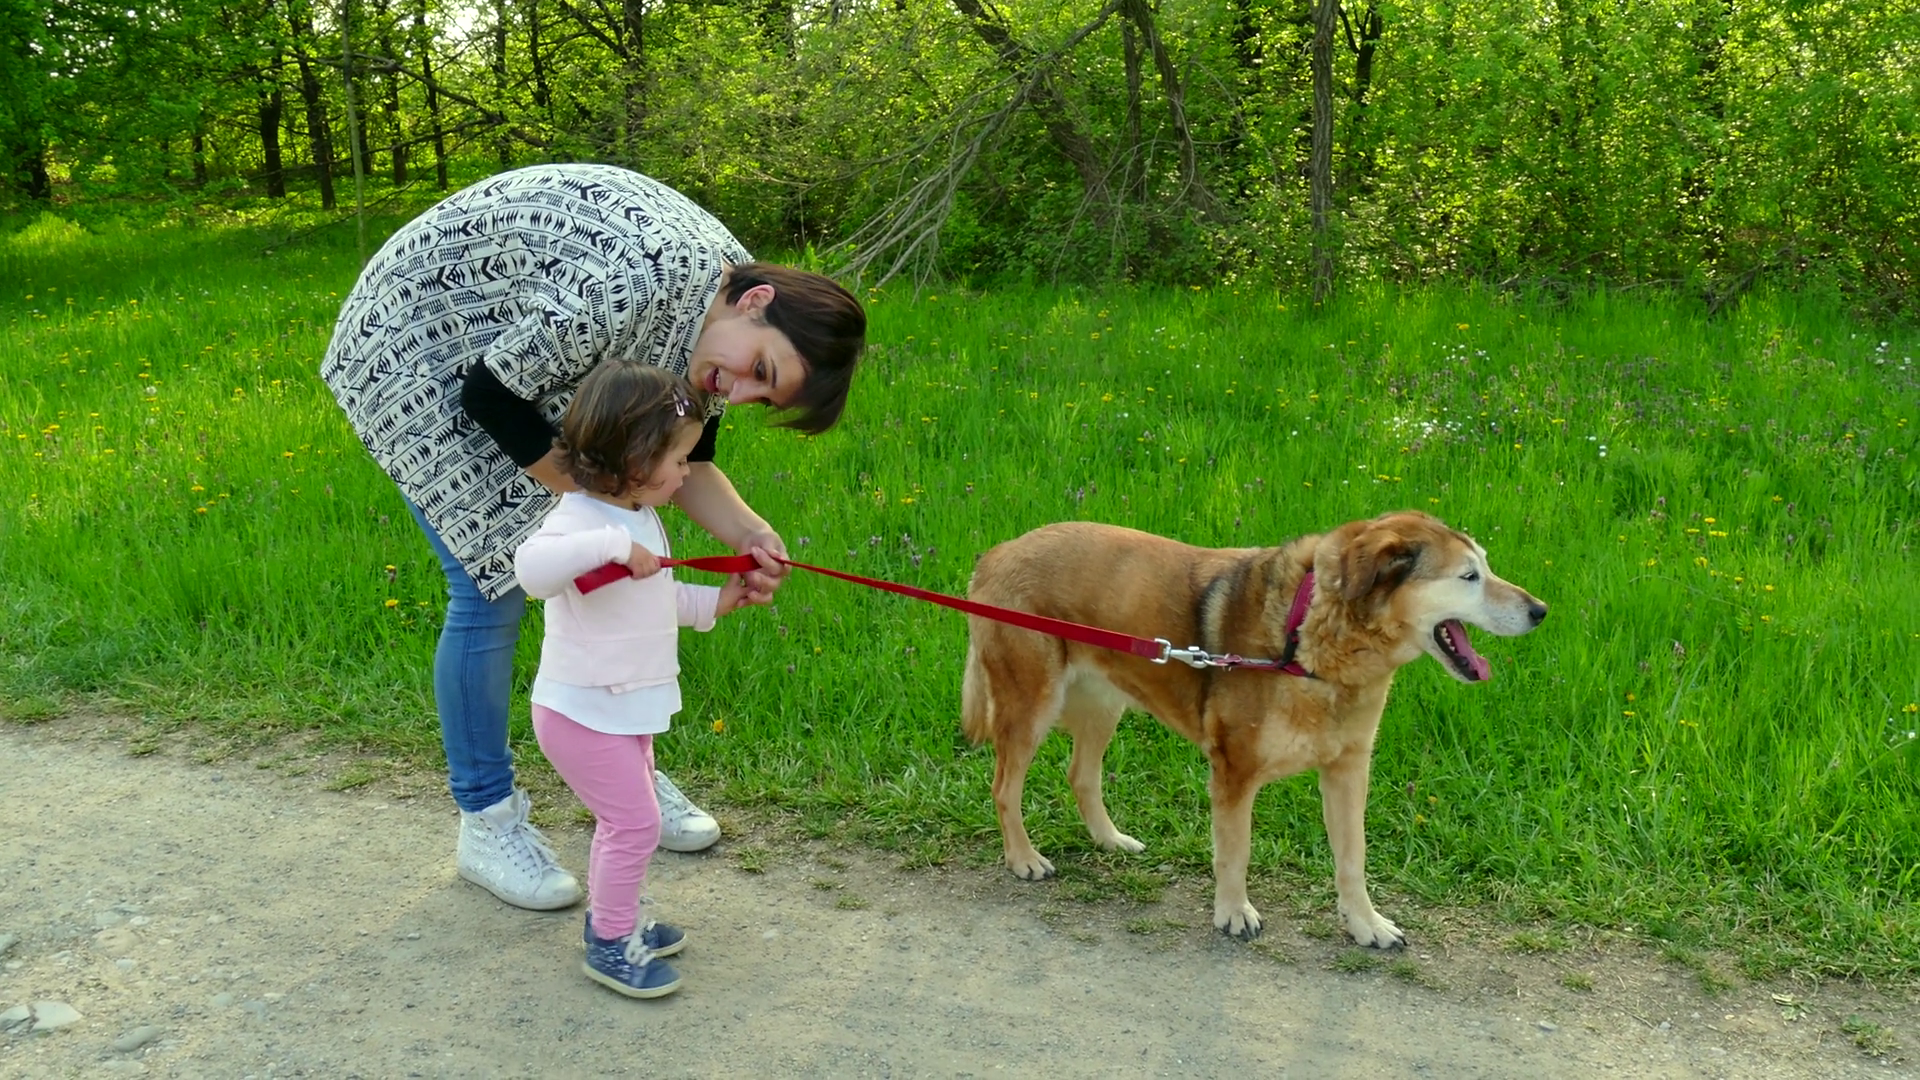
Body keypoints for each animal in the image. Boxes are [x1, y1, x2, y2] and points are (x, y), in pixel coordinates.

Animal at [960, 511, 1546, 948]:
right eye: (1469, 577)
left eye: (1485, 567)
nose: (1541, 609)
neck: (1310, 641)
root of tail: (997, 551)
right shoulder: (1234, 771)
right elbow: (1234, 850)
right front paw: (1233, 912)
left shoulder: (1348, 772)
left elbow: (1352, 860)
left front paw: (1366, 924)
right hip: (1030, 706)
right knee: (1004, 787)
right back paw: (1023, 859)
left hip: (1105, 704)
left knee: (1081, 775)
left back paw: (1110, 839)